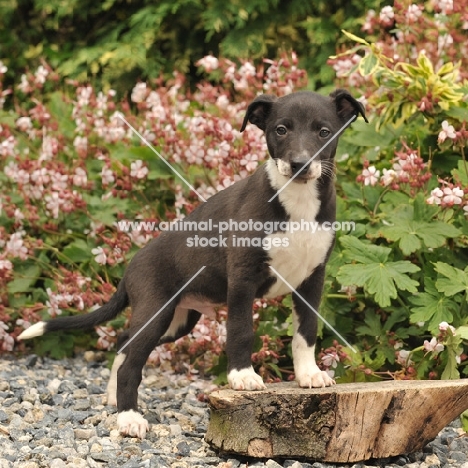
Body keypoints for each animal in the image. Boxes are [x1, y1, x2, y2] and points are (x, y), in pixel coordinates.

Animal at [19, 88, 366, 438]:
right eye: (281, 130)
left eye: (324, 132)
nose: (299, 164)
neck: (296, 201)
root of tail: (130, 268)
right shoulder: (242, 279)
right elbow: (241, 330)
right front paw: (242, 376)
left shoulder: (312, 279)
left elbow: (306, 331)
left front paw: (309, 374)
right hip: (158, 311)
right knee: (131, 364)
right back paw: (129, 417)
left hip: (178, 320)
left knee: (124, 341)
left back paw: (113, 398)